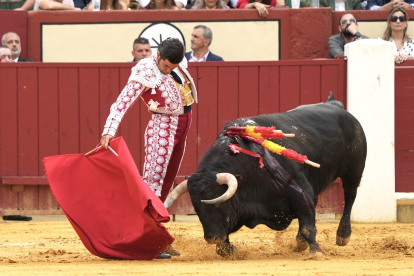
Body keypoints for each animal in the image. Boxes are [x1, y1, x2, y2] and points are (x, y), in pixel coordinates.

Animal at [164, 94, 366, 258]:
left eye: (218, 203)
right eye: (196, 208)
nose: (212, 238)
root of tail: (335, 105)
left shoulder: (299, 190)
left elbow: (308, 224)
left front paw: (316, 252)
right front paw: (230, 249)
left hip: (353, 171)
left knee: (350, 196)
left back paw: (342, 235)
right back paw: (300, 242)